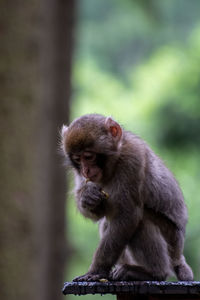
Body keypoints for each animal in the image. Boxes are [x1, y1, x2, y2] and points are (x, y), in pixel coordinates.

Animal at [61, 113, 194, 282]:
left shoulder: (132, 159)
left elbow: (127, 216)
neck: (114, 162)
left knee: (141, 220)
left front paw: (97, 270)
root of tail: (179, 256)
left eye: (89, 156)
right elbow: (99, 211)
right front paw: (87, 196)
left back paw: (154, 273)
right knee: (106, 221)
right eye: (77, 159)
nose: (86, 170)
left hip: (172, 240)